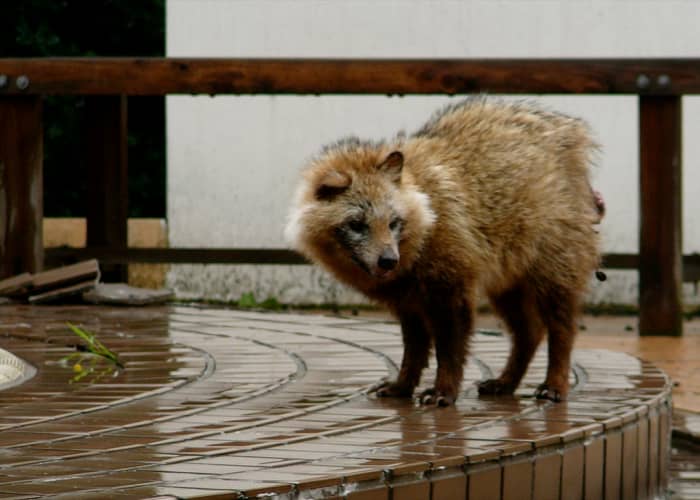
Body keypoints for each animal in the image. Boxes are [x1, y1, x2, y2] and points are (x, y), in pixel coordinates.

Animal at [284, 97, 600, 406]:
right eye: (357, 224)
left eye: (393, 222)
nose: (388, 261)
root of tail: (570, 134)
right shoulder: (407, 300)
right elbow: (414, 349)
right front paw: (403, 384)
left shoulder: (451, 288)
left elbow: (449, 350)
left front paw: (444, 389)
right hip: (508, 279)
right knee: (529, 332)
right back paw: (507, 381)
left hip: (553, 267)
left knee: (561, 329)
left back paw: (555, 381)